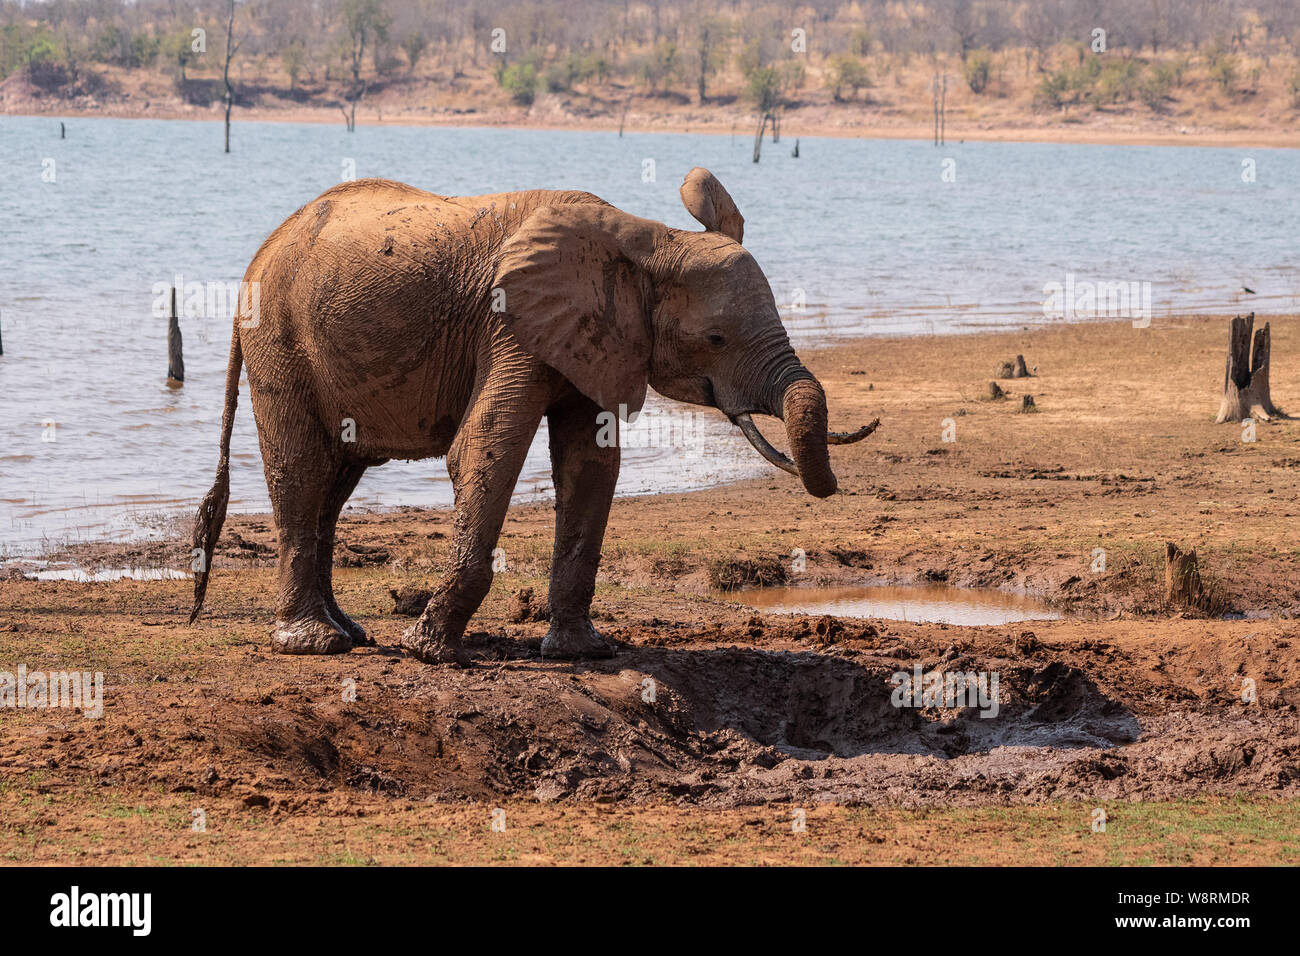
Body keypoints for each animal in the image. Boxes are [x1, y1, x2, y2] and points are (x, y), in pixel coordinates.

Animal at [189, 167, 873, 665]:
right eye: (716, 340)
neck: (644, 240)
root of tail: (261, 252)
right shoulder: (509, 327)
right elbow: (485, 446)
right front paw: (431, 652)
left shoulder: (597, 340)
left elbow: (590, 463)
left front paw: (583, 652)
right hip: (277, 335)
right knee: (303, 471)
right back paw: (316, 644)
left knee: (337, 481)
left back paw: (350, 632)